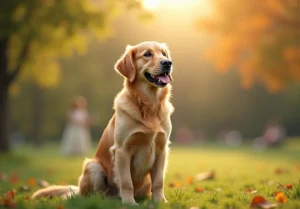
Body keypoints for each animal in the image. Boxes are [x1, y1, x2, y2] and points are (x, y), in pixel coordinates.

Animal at [31, 40, 173, 204]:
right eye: (147, 54)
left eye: (163, 53)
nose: (168, 63)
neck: (149, 105)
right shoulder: (122, 150)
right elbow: (126, 182)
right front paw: (129, 203)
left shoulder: (161, 149)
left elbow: (158, 181)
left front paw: (160, 202)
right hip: (93, 166)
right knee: (89, 195)